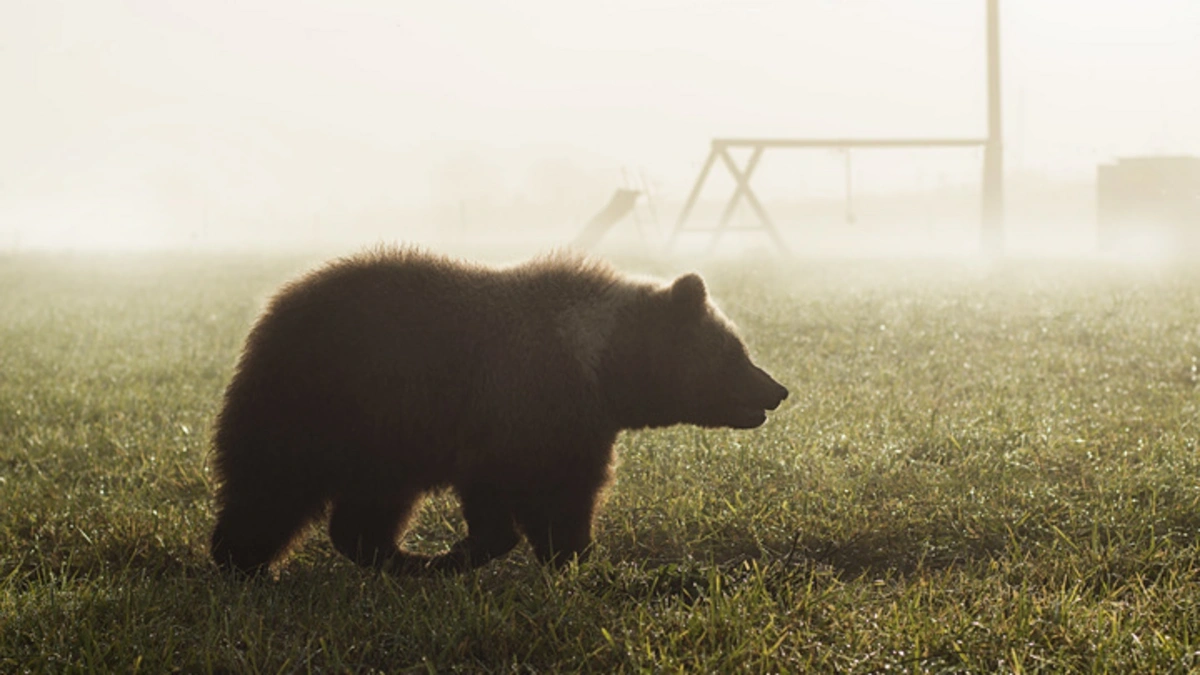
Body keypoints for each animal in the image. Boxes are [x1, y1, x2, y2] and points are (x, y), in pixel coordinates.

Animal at [208, 247, 787, 571]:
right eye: (735, 351)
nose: (776, 389)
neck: (604, 367)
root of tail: (274, 310)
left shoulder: (504, 427)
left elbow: (500, 497)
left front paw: (476, 549)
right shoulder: (537, 406)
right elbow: (558, 495)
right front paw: (574, 555)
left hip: (381, 440)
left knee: (360, 510)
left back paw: (399, 558)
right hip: (326, 406)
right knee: (271, 490)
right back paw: (244, 563)